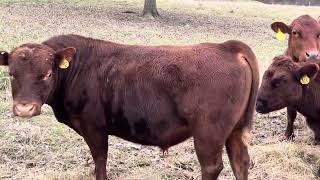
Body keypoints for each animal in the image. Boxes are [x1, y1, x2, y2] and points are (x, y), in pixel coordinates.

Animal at [0, 34, 258, 180]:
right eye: (11, 73)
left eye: (47, 74)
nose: (24, 108)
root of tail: (226, 47)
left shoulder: (94, 127)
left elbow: (100, 162)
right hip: (234, 131)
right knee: (240, 162)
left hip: (208, 133)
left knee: (212, 166)